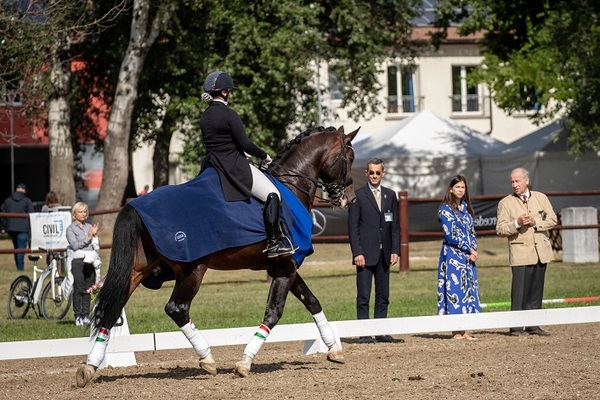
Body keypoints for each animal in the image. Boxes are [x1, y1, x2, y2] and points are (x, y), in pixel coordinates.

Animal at [76, 125, 360, 387]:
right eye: (351, 156)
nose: (350, 198)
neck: (292, 187)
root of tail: (135, 204)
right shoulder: (285, 266)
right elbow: (274, 312)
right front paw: (245, 362)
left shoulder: (282, 266)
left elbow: (312, 301)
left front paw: (334, 350)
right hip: (193, 270)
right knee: (176, 308)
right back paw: (207, 359)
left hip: (139, 268)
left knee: (113, 308)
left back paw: (89, 367)